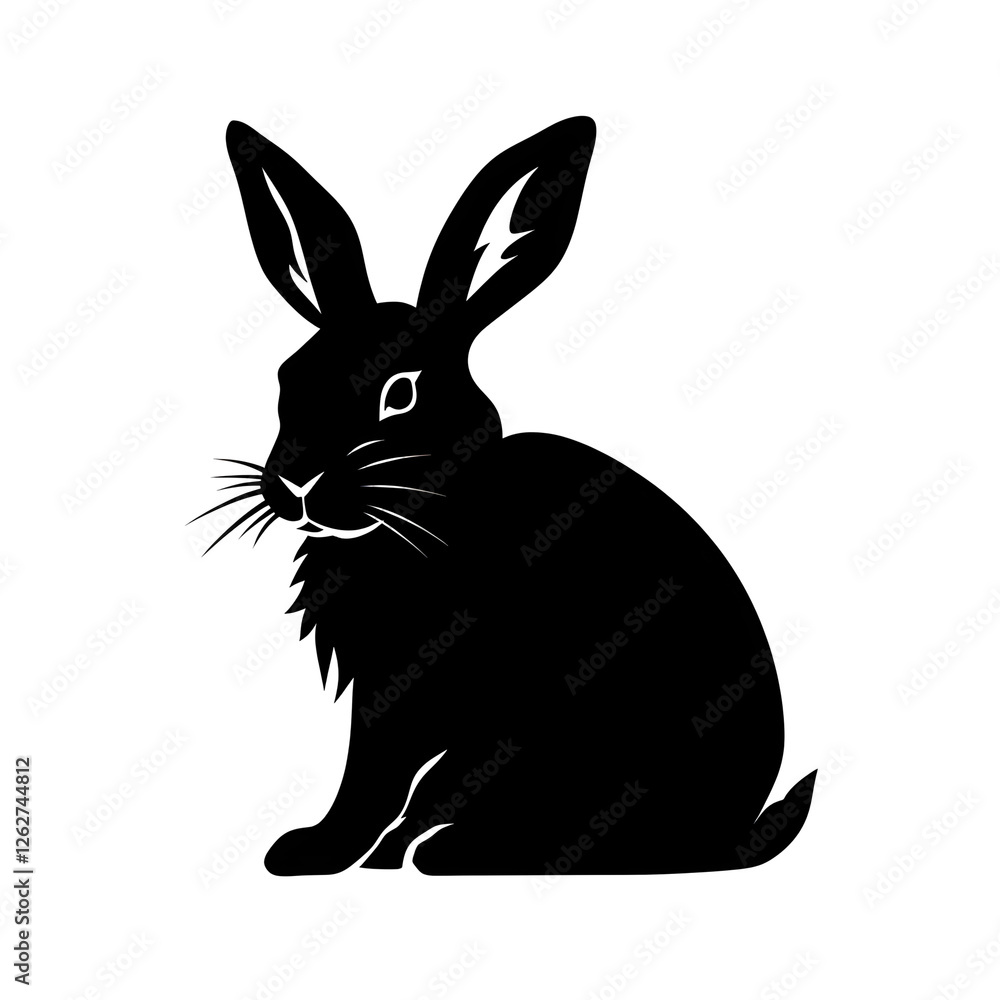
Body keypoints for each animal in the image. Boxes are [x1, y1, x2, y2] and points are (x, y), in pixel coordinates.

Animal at [196, 116, 815, 876]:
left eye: (401, 392)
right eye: (289, 377)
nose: (297, 484)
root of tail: (733, 830)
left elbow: (374, 777)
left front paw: (314, 852)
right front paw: (325, 848)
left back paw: (453, 853)